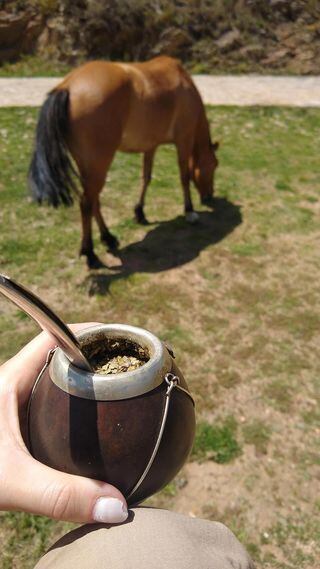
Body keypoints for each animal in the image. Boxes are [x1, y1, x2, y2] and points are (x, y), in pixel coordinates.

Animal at [29, 56, 218, 268]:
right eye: (214, 166)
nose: (210, 196)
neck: (183, 81)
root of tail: (67, 86)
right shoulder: (183, 140)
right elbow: (184, 177)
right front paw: (189, 211)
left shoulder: (150, 146)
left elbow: (146, 178)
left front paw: (140, 212)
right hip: (99, 165)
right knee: (86, 203)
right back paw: (90, 253)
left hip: (89, 167)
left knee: (93, 200)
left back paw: (108, 237)